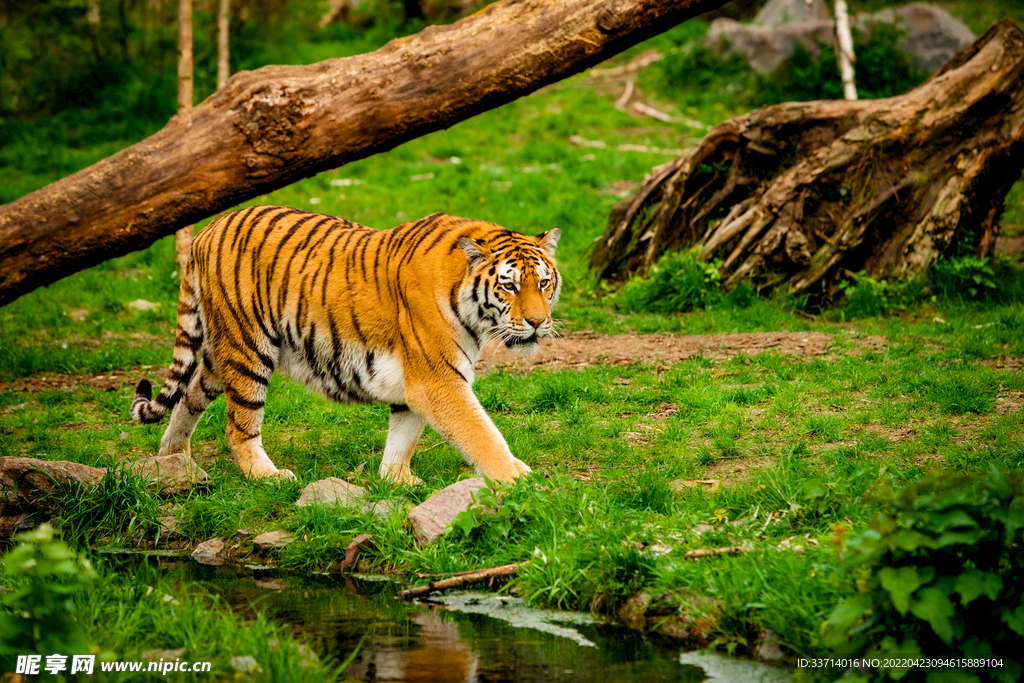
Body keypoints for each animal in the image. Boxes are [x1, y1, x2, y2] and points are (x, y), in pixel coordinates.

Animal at [130, 206, 561, 484]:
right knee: (239, 426)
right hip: (247, 348)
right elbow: (481, 434)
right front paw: (519, 479)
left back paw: (174, 459)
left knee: (189, 394)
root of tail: (208, 229)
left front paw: (397, 480)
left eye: (543, 283)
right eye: (510, 286)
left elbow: (403, 435)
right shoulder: (437, 379)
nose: (538, 322)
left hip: (221, 353)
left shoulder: (417, 381)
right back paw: (268, 476)